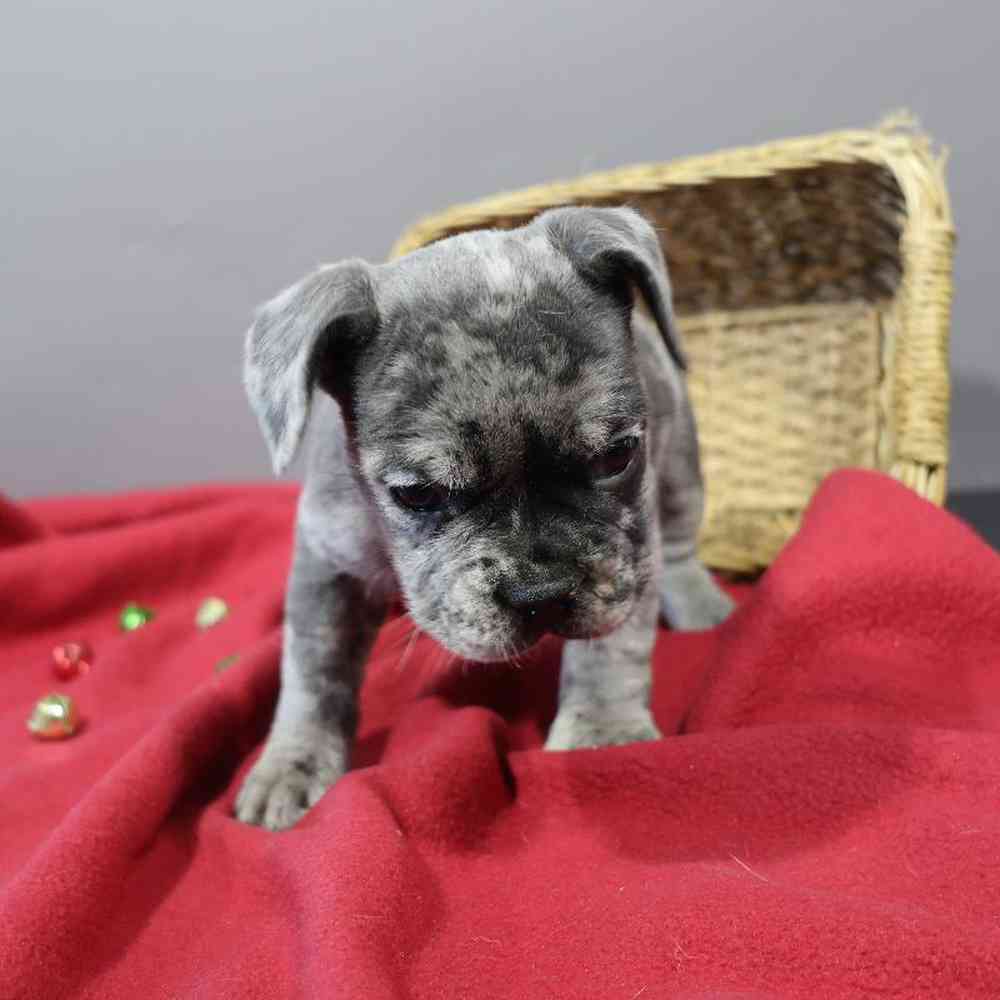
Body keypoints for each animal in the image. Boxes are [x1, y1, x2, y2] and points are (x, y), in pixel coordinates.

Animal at [235, 205, 734, 830]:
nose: (542, 592)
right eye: (418, 495)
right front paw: (291, 764)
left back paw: (699, 604)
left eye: (615, 455)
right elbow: (313, 669)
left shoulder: (627, 552)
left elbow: (612, 645)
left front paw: (603, 731)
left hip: (680, 460)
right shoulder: (327, 568)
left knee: (681, 537)